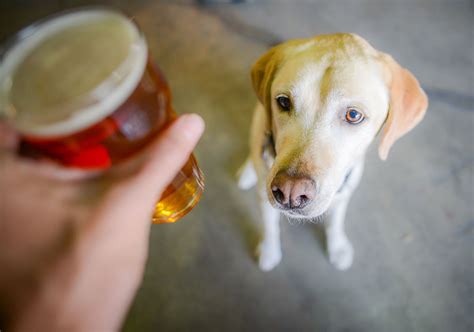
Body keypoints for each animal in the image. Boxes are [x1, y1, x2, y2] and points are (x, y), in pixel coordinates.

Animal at [239, 33, 428, 272]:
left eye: (353, 115)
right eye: (283, 101)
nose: (290, 192)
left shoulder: (343, 194)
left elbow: (335, 222)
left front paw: (338, 248)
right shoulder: (265, 199)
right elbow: (270, 226)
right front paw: (269, 251)